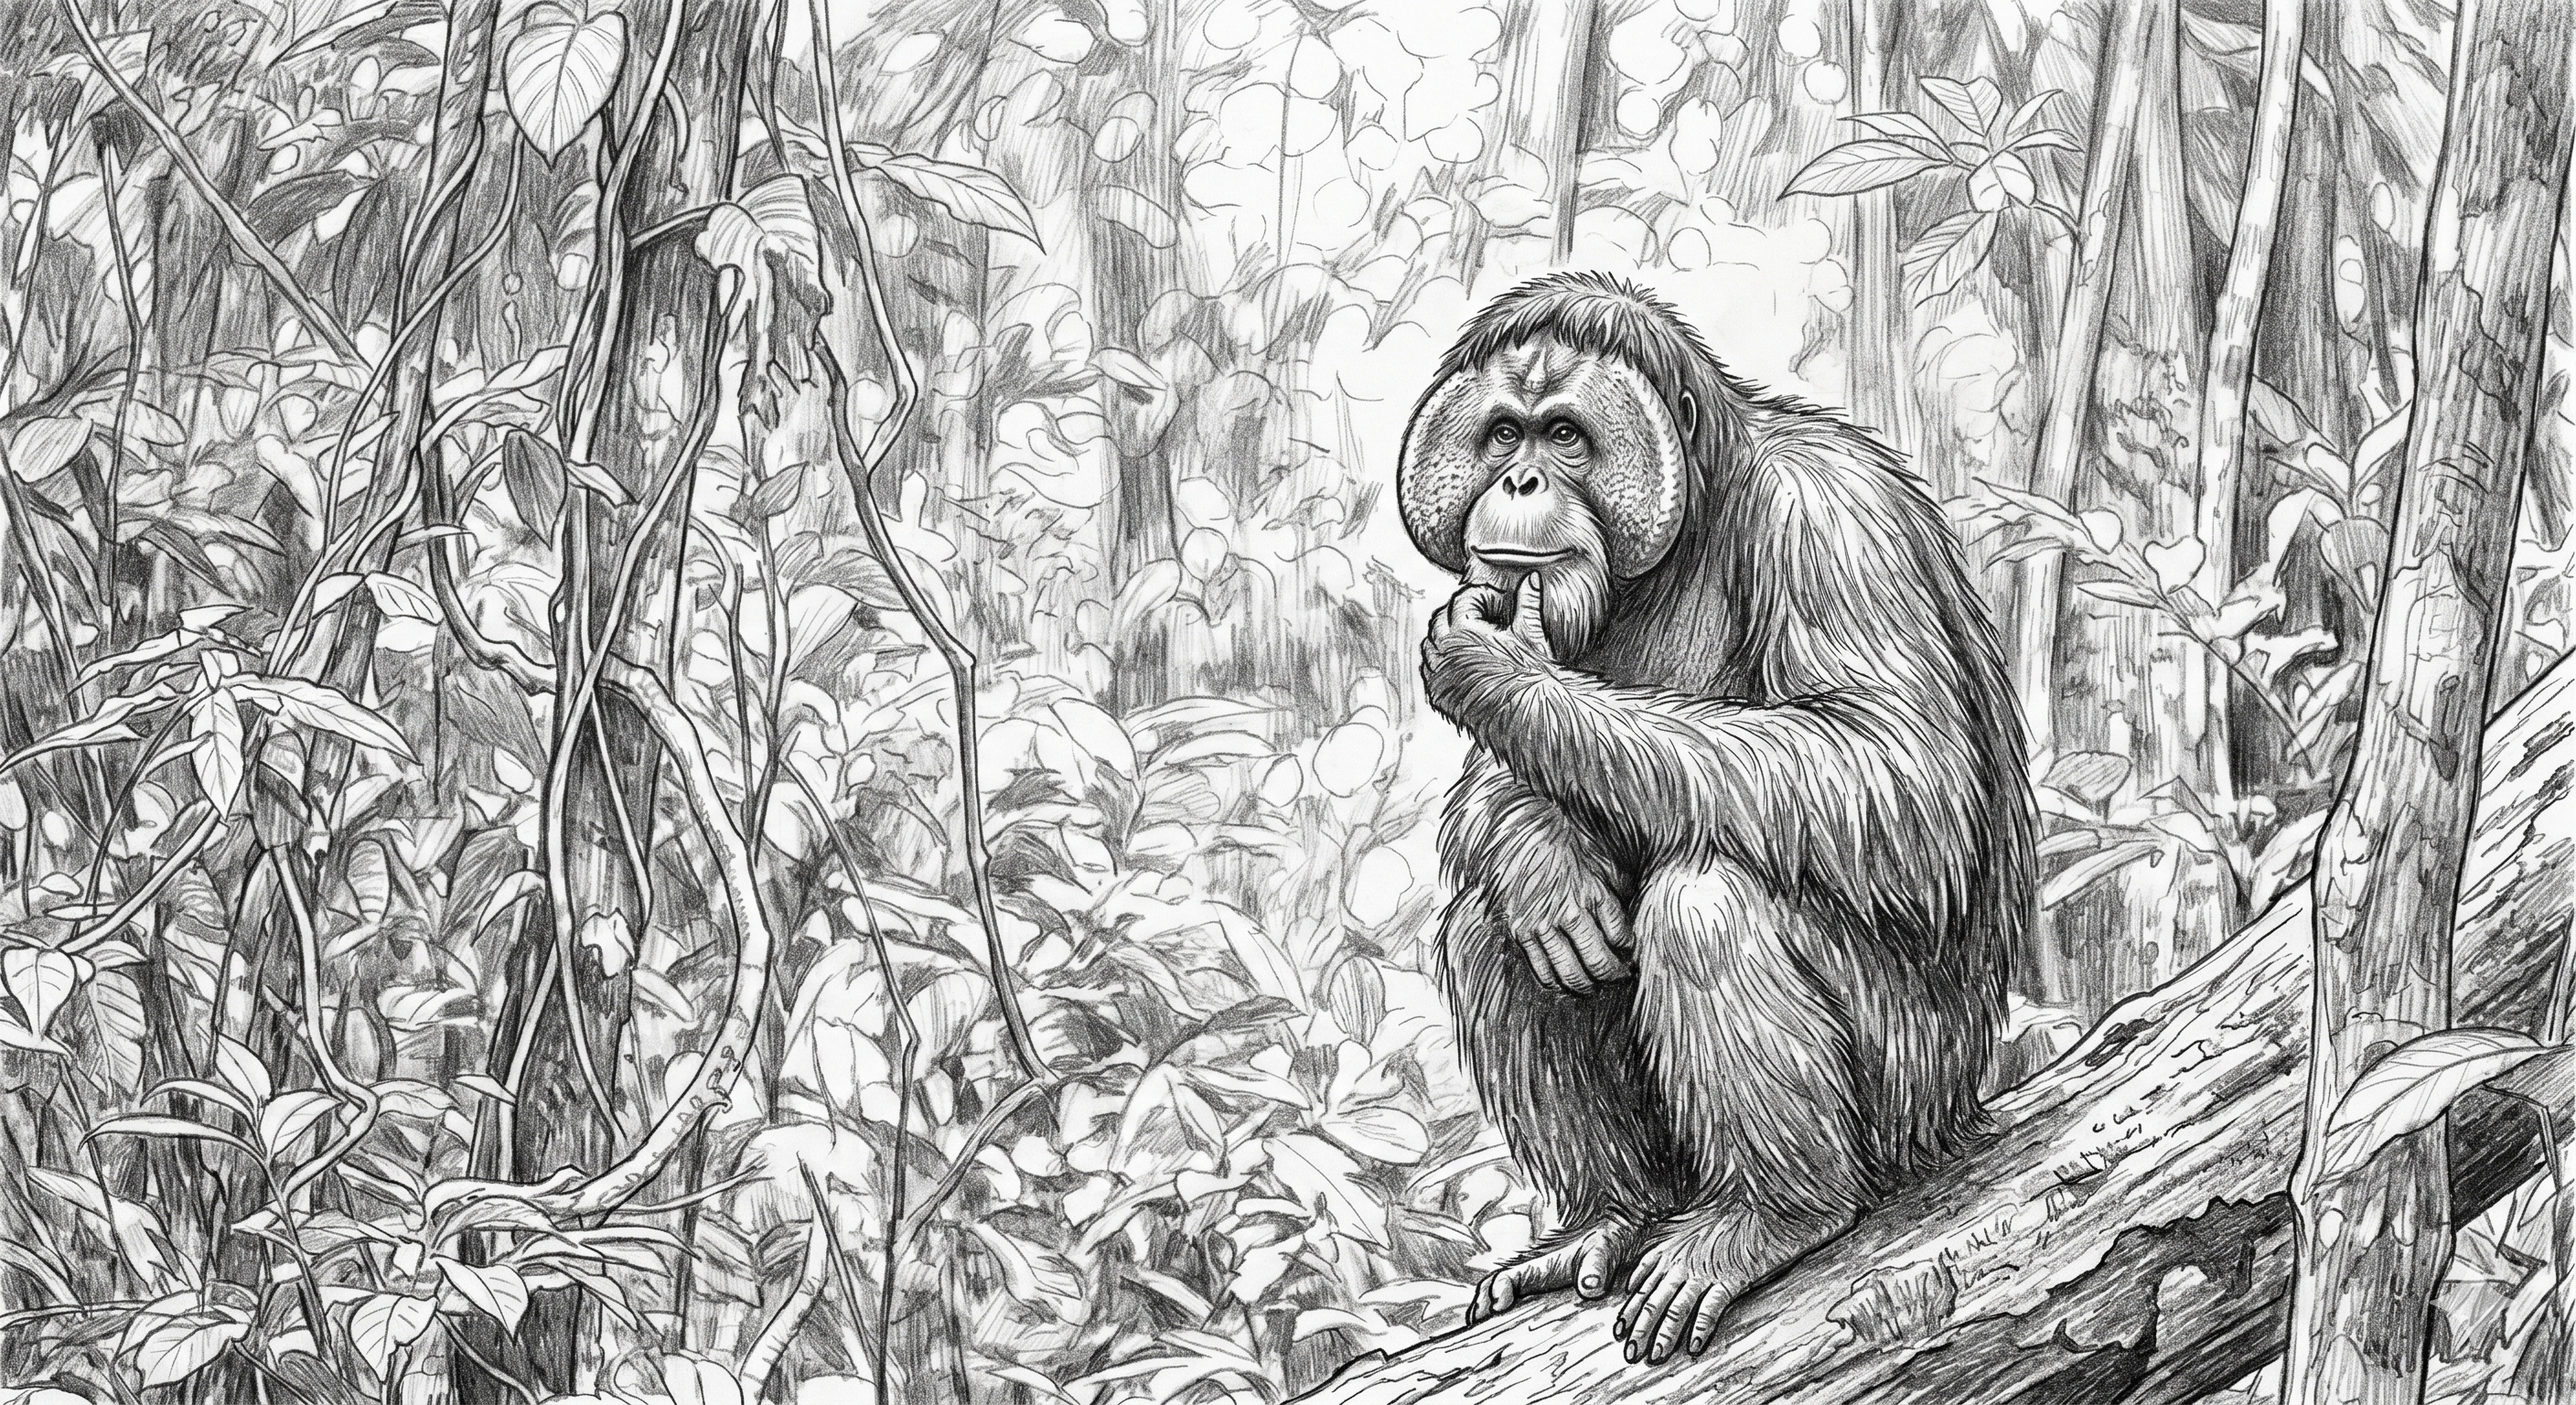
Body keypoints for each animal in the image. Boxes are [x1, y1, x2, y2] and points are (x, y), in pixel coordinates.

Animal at [1399, 272, 2034, 1364]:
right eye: (1502, 434)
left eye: (1564, 436)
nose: (1518, 481)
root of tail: (1958, 1111)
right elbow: (1501, 792)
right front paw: (1542, 860)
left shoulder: (1828, 515)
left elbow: (1896, 773)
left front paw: (1499, 673)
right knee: (1492, 937)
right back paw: (1607, 1215)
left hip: (1915, 1078)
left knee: (1709, 901)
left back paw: (1772, 1219)